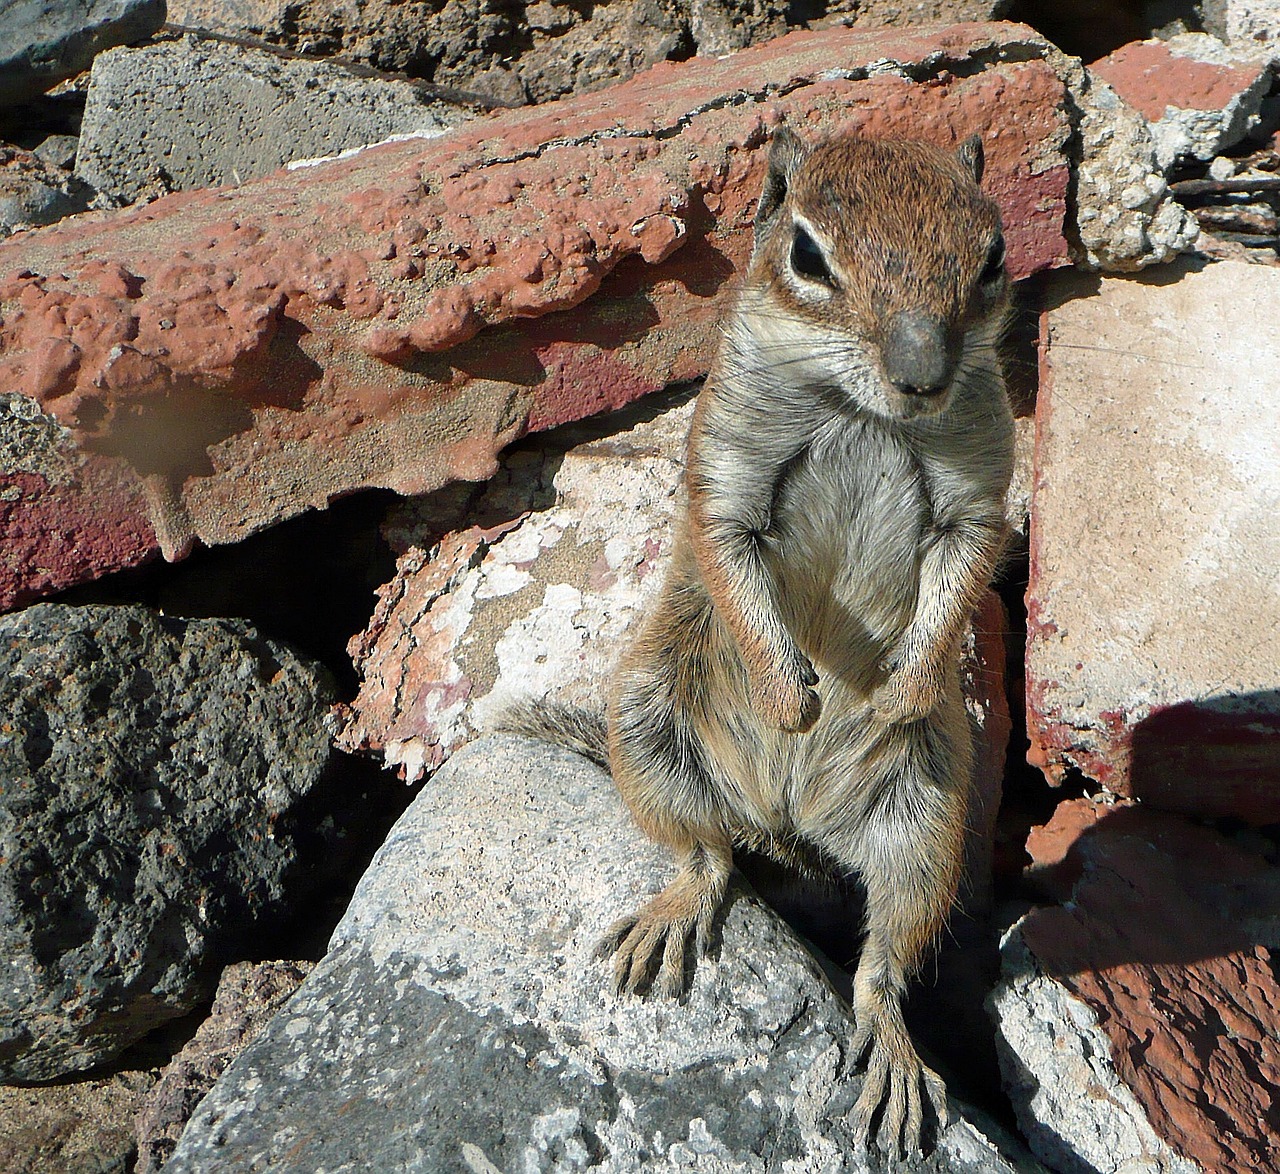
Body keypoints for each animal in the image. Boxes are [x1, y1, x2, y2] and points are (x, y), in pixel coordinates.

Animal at [499, 128, 1008, 1152]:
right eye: (807, 256)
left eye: (994, 257)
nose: (923, 376)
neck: (862, 412)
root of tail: (790, 824)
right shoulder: (727, 468)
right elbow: (729, 554)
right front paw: (790, 696)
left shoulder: (980, 487)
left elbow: (966, 569)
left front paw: (898, 692)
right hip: (650, 719)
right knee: (706, 855)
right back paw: (674, 913)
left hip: (928, 824)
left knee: (883, 965)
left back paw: (894, 1058)